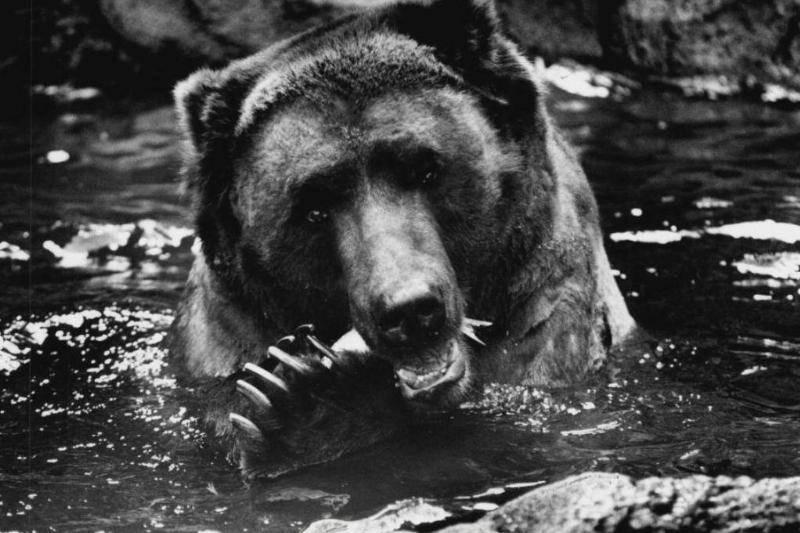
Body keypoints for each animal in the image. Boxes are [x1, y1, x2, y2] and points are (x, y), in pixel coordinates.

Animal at [169, 0, 637, 480]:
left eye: (425, 169)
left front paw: (316, 399)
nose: (410, 309)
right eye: (314, 208)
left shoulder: (544, 309)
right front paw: (307, 410)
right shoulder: (225, 334)